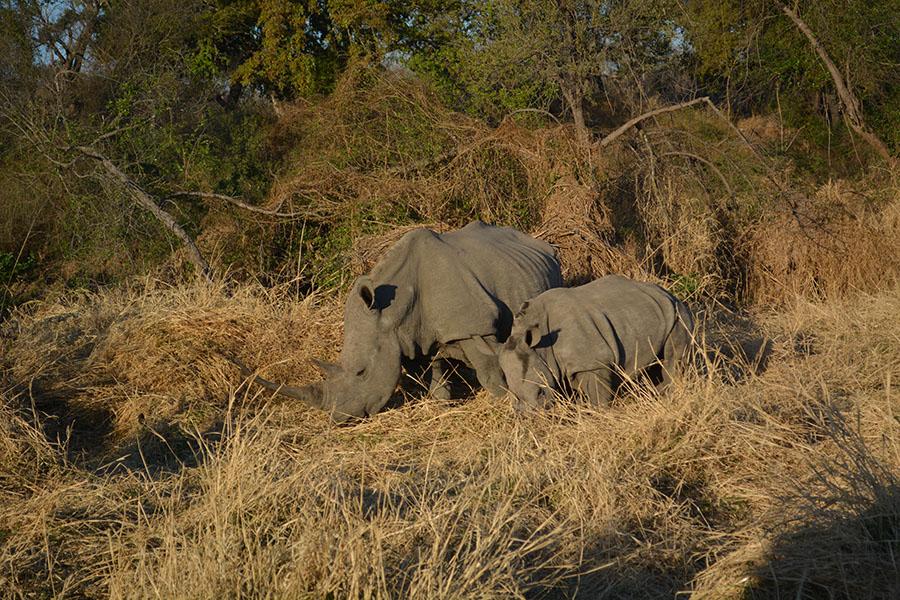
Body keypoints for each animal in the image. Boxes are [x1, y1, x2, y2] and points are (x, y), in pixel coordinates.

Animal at [239, 220, 564, 422]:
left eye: (361, 372)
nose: (338, 418)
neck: (392, 313)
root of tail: (537, 242)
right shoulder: (416, 334)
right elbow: (435, 371)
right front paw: (441, 404)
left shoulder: (471, 327)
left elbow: (487, 369)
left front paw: (501, 400)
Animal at [500, 274, 696, 410]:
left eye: (541, 392)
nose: (532, 415)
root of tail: (668, 292)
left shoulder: (593, 363)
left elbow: (598, 397)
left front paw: (601, 415)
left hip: (678, 314)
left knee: (673, 359)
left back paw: (669, 396)